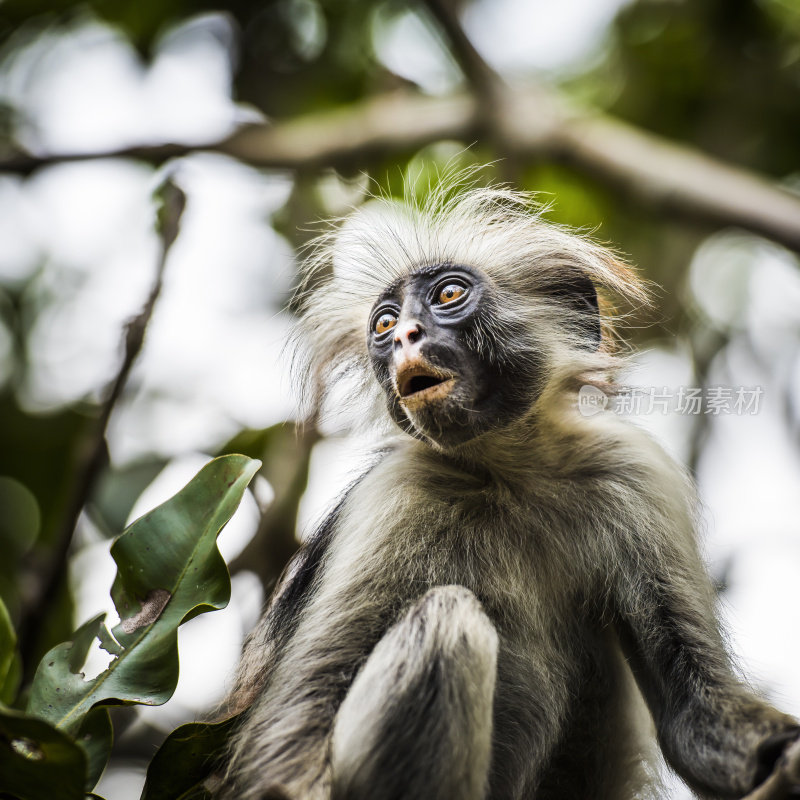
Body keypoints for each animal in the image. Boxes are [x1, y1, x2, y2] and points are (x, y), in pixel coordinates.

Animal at [216, 181, 796, 800]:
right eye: (384, 324)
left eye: (448, 294)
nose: (405, 336)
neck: (511, 473)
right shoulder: (394, 495)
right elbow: (291, 736)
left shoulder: (631, 471)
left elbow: (697, 723)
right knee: (447, 619)